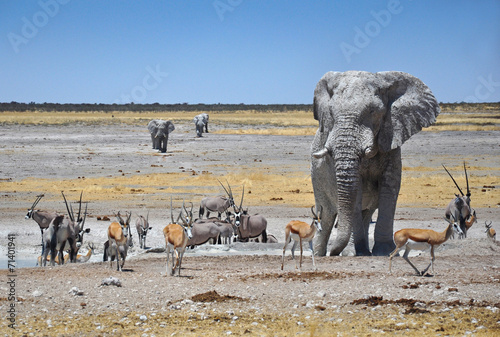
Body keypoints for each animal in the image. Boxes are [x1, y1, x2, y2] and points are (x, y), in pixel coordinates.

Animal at [310, 70, 440, 255]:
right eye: (331, 112)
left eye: (372, 111)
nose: (333, 253)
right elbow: (356, 191)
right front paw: (354, 253)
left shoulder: (392, 138)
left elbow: (390, 187)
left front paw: (386, 252)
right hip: (317, 179)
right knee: (327, 214)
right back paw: (321, 254)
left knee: (365, 213)